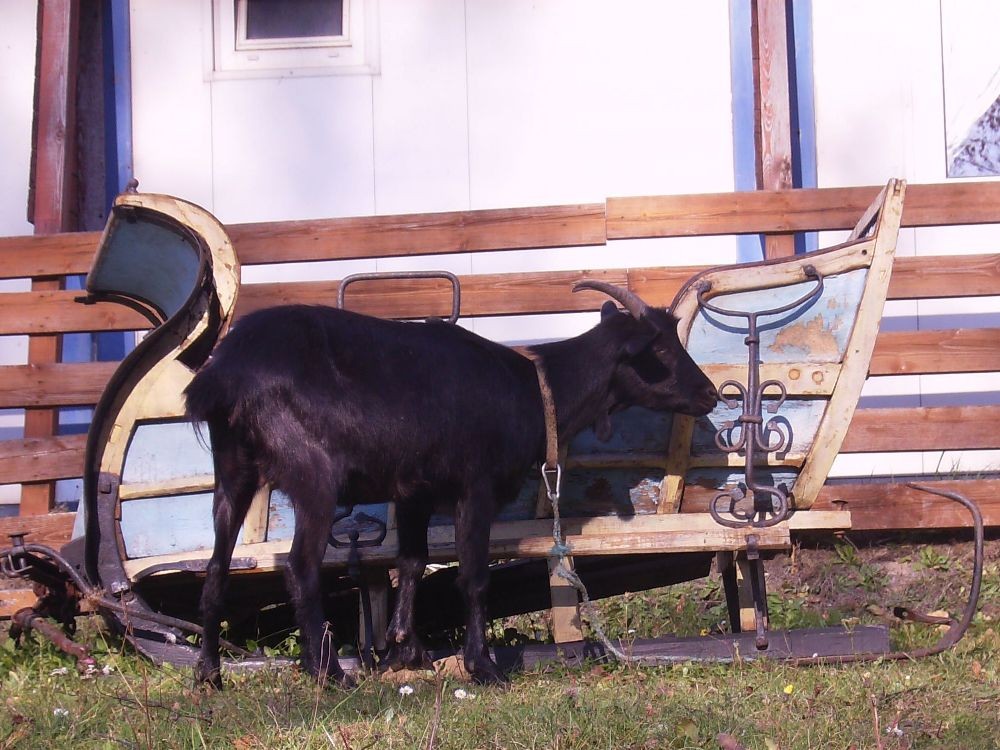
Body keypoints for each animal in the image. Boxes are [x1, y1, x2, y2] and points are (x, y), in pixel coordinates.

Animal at [186, 280, 720, 688]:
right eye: (659, 349)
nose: (711, 394)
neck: (534, 388)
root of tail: (224, 376)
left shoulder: (413, 492)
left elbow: (412, 562)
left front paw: (405, 652)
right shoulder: (475, 487)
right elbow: (473, 577)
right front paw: (482, 666)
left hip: (232, 471)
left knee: (216, 568)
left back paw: (209, 674)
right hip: (313, 475)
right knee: (300, 567)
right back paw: (328, 673)